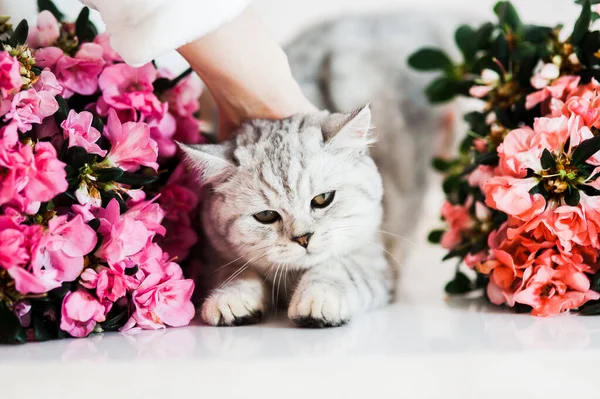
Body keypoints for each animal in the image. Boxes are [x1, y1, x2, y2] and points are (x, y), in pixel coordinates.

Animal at [183, 12, 454, 328]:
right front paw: (232, 297)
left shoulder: (373, 257)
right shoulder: (215, 256)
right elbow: (235, 272)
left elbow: (339, 267)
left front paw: (317, 298)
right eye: (266, 216)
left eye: (323, 199)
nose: (303, 238)